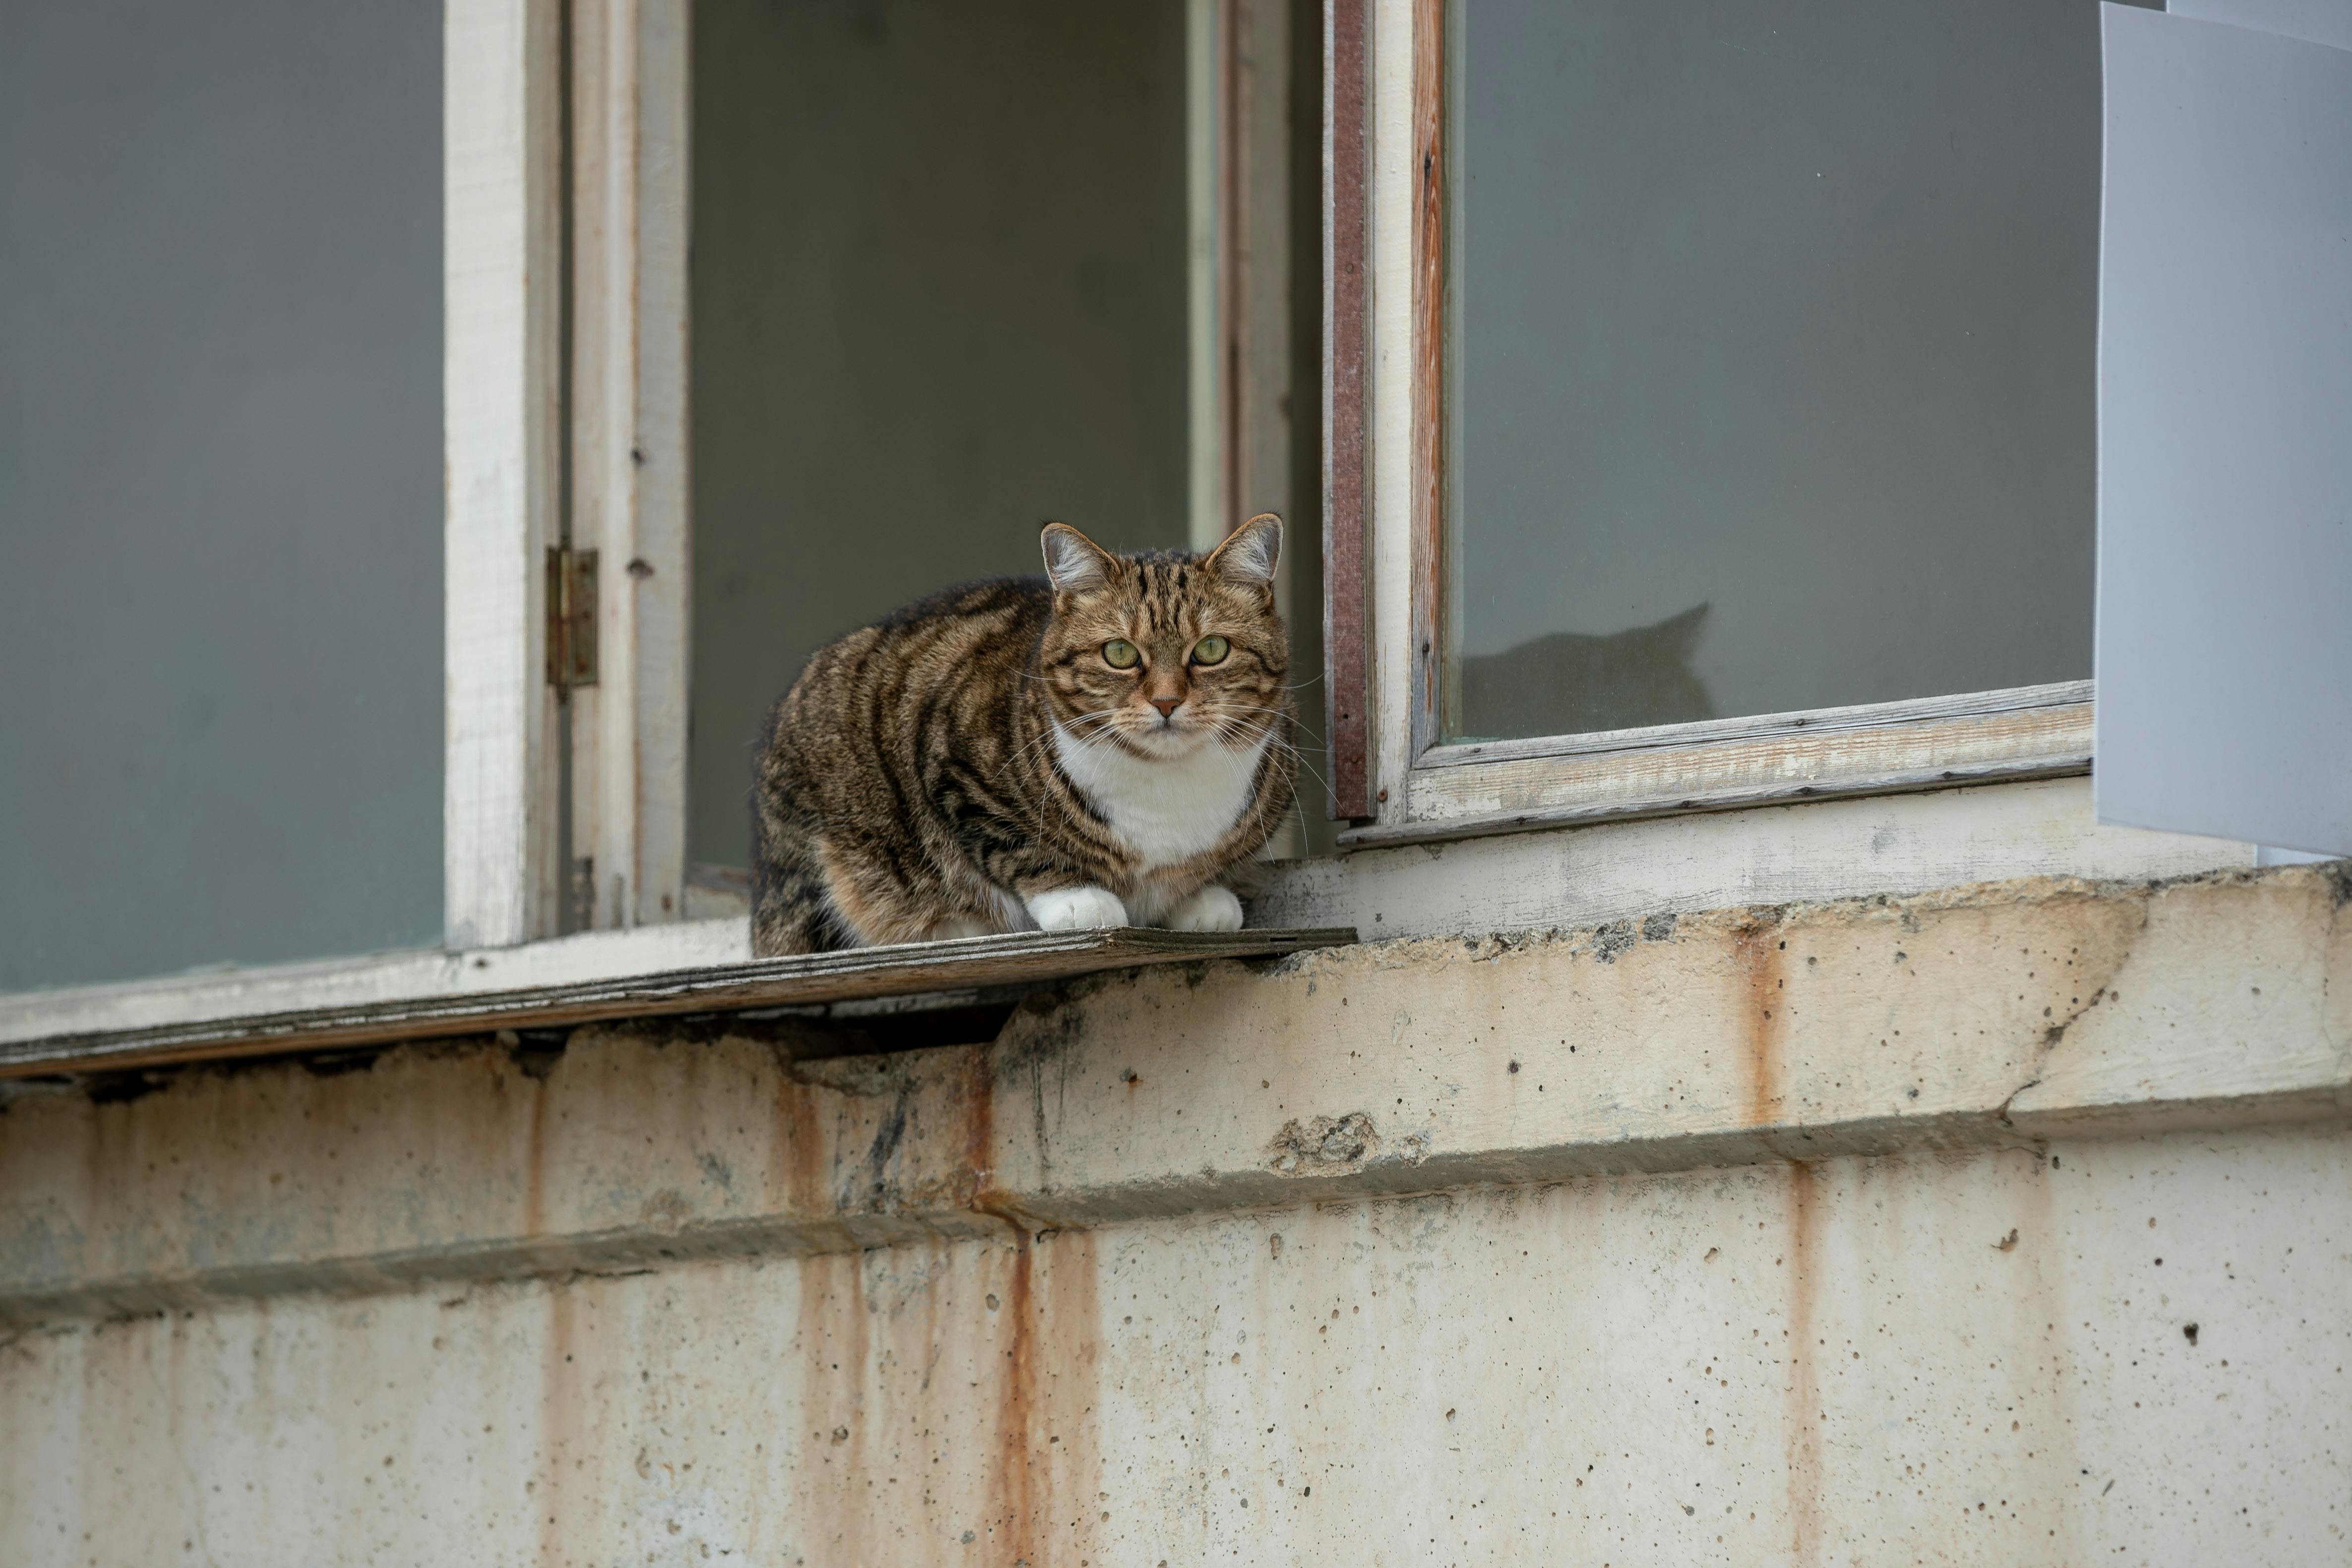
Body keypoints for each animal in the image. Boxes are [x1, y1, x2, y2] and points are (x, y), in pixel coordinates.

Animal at [752, 515, 1298, 959]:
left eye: (1211, 649)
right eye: (1120, 653)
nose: (1166, 702)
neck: (1166, 789)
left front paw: (1202, 897)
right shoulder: (952, 769)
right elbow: (1013, 846)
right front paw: (1079, 900)